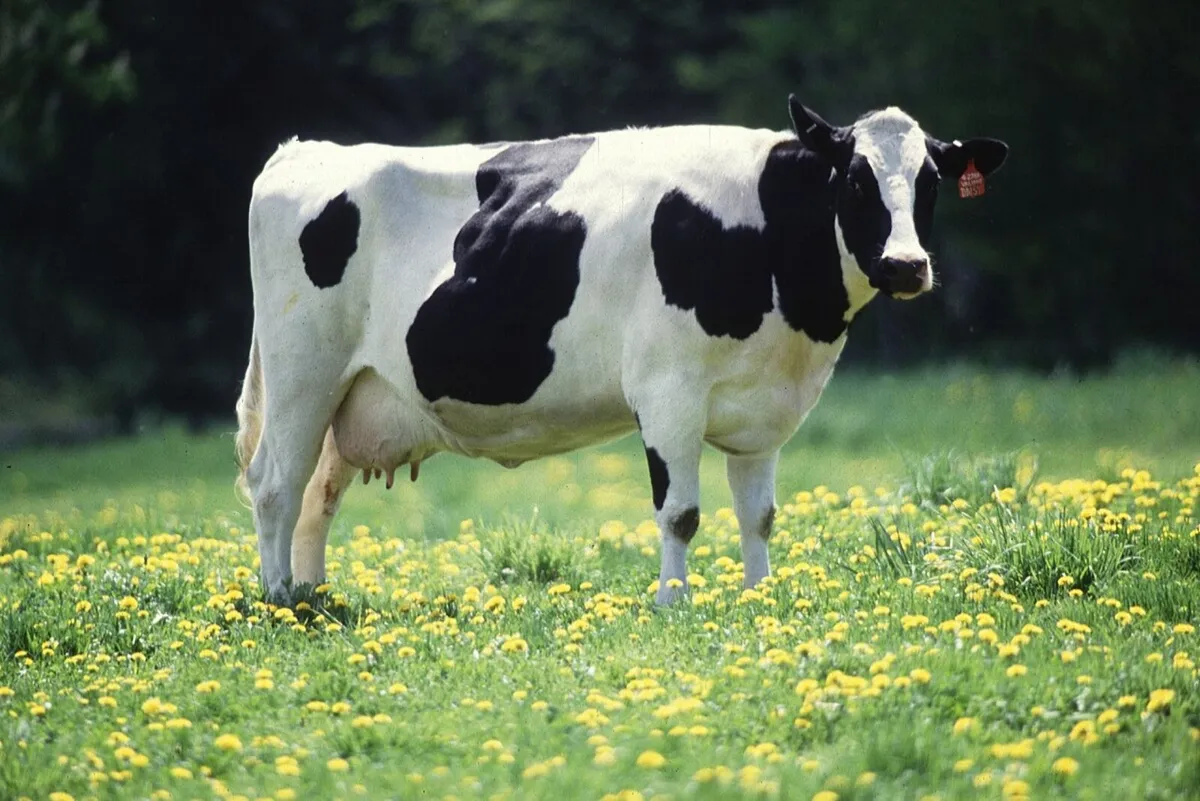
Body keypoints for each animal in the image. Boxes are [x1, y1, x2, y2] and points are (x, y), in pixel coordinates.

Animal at [235, 96, 1008, 605]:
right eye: (855, 178)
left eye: (931, 181)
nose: (906, 265)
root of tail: (303, 150)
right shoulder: (668, 391)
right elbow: (681, 512)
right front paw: (673, 603)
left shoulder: (764, 409)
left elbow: (758, 514)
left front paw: (760, 597)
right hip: (303, 372)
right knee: (275, 483)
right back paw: (279, 600)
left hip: (352, 392)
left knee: (318, 494)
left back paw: (313, 595)